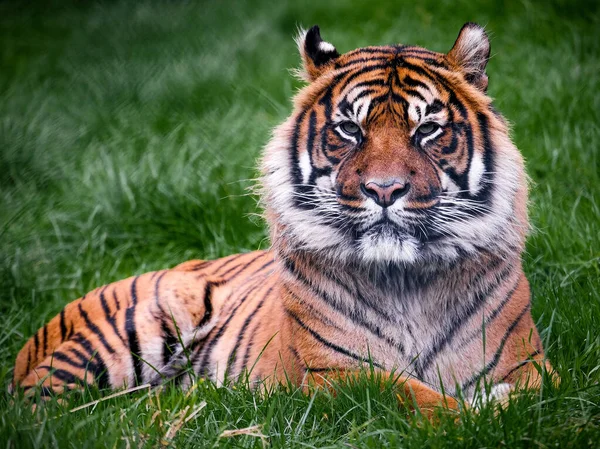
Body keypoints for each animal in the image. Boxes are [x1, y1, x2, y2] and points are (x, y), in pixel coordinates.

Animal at [11, 21, 552, 412]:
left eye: (428, 130)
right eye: (349, 129)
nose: (384, 190)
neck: (407, 282)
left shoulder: (529, 363)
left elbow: (531, 397)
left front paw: (496, 406)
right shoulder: (340, 375)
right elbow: (421, 400)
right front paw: (474, 415)